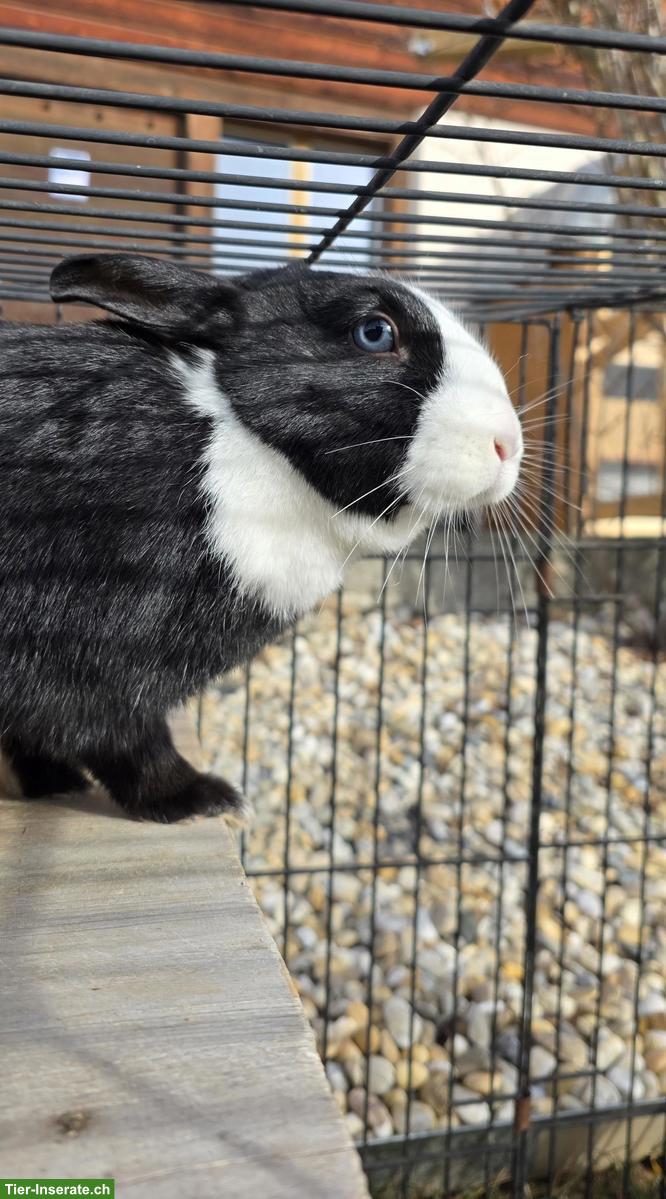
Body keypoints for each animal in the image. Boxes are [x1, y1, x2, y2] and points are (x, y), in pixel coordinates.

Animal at [0, 253, 522, 823]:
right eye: (374, 332)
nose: (508, 445)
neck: (250, 444)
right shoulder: (88, 655)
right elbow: (123, 741)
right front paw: (201, 798)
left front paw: (54, 783)